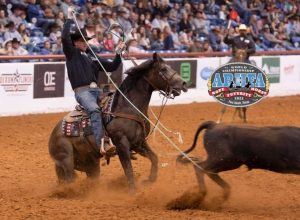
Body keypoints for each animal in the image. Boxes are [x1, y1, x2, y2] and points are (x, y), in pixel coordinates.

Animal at [47, 52, 186, 192]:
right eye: (163, 69)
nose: (184, 83)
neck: (127, 107)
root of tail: (54, 133)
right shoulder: (121, 143)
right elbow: (128, 169)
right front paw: (133, 191)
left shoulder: (138, 142)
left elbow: (154, 158)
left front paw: (150, 180)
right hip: (66, 160)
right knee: (69, 179)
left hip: (90, 163)